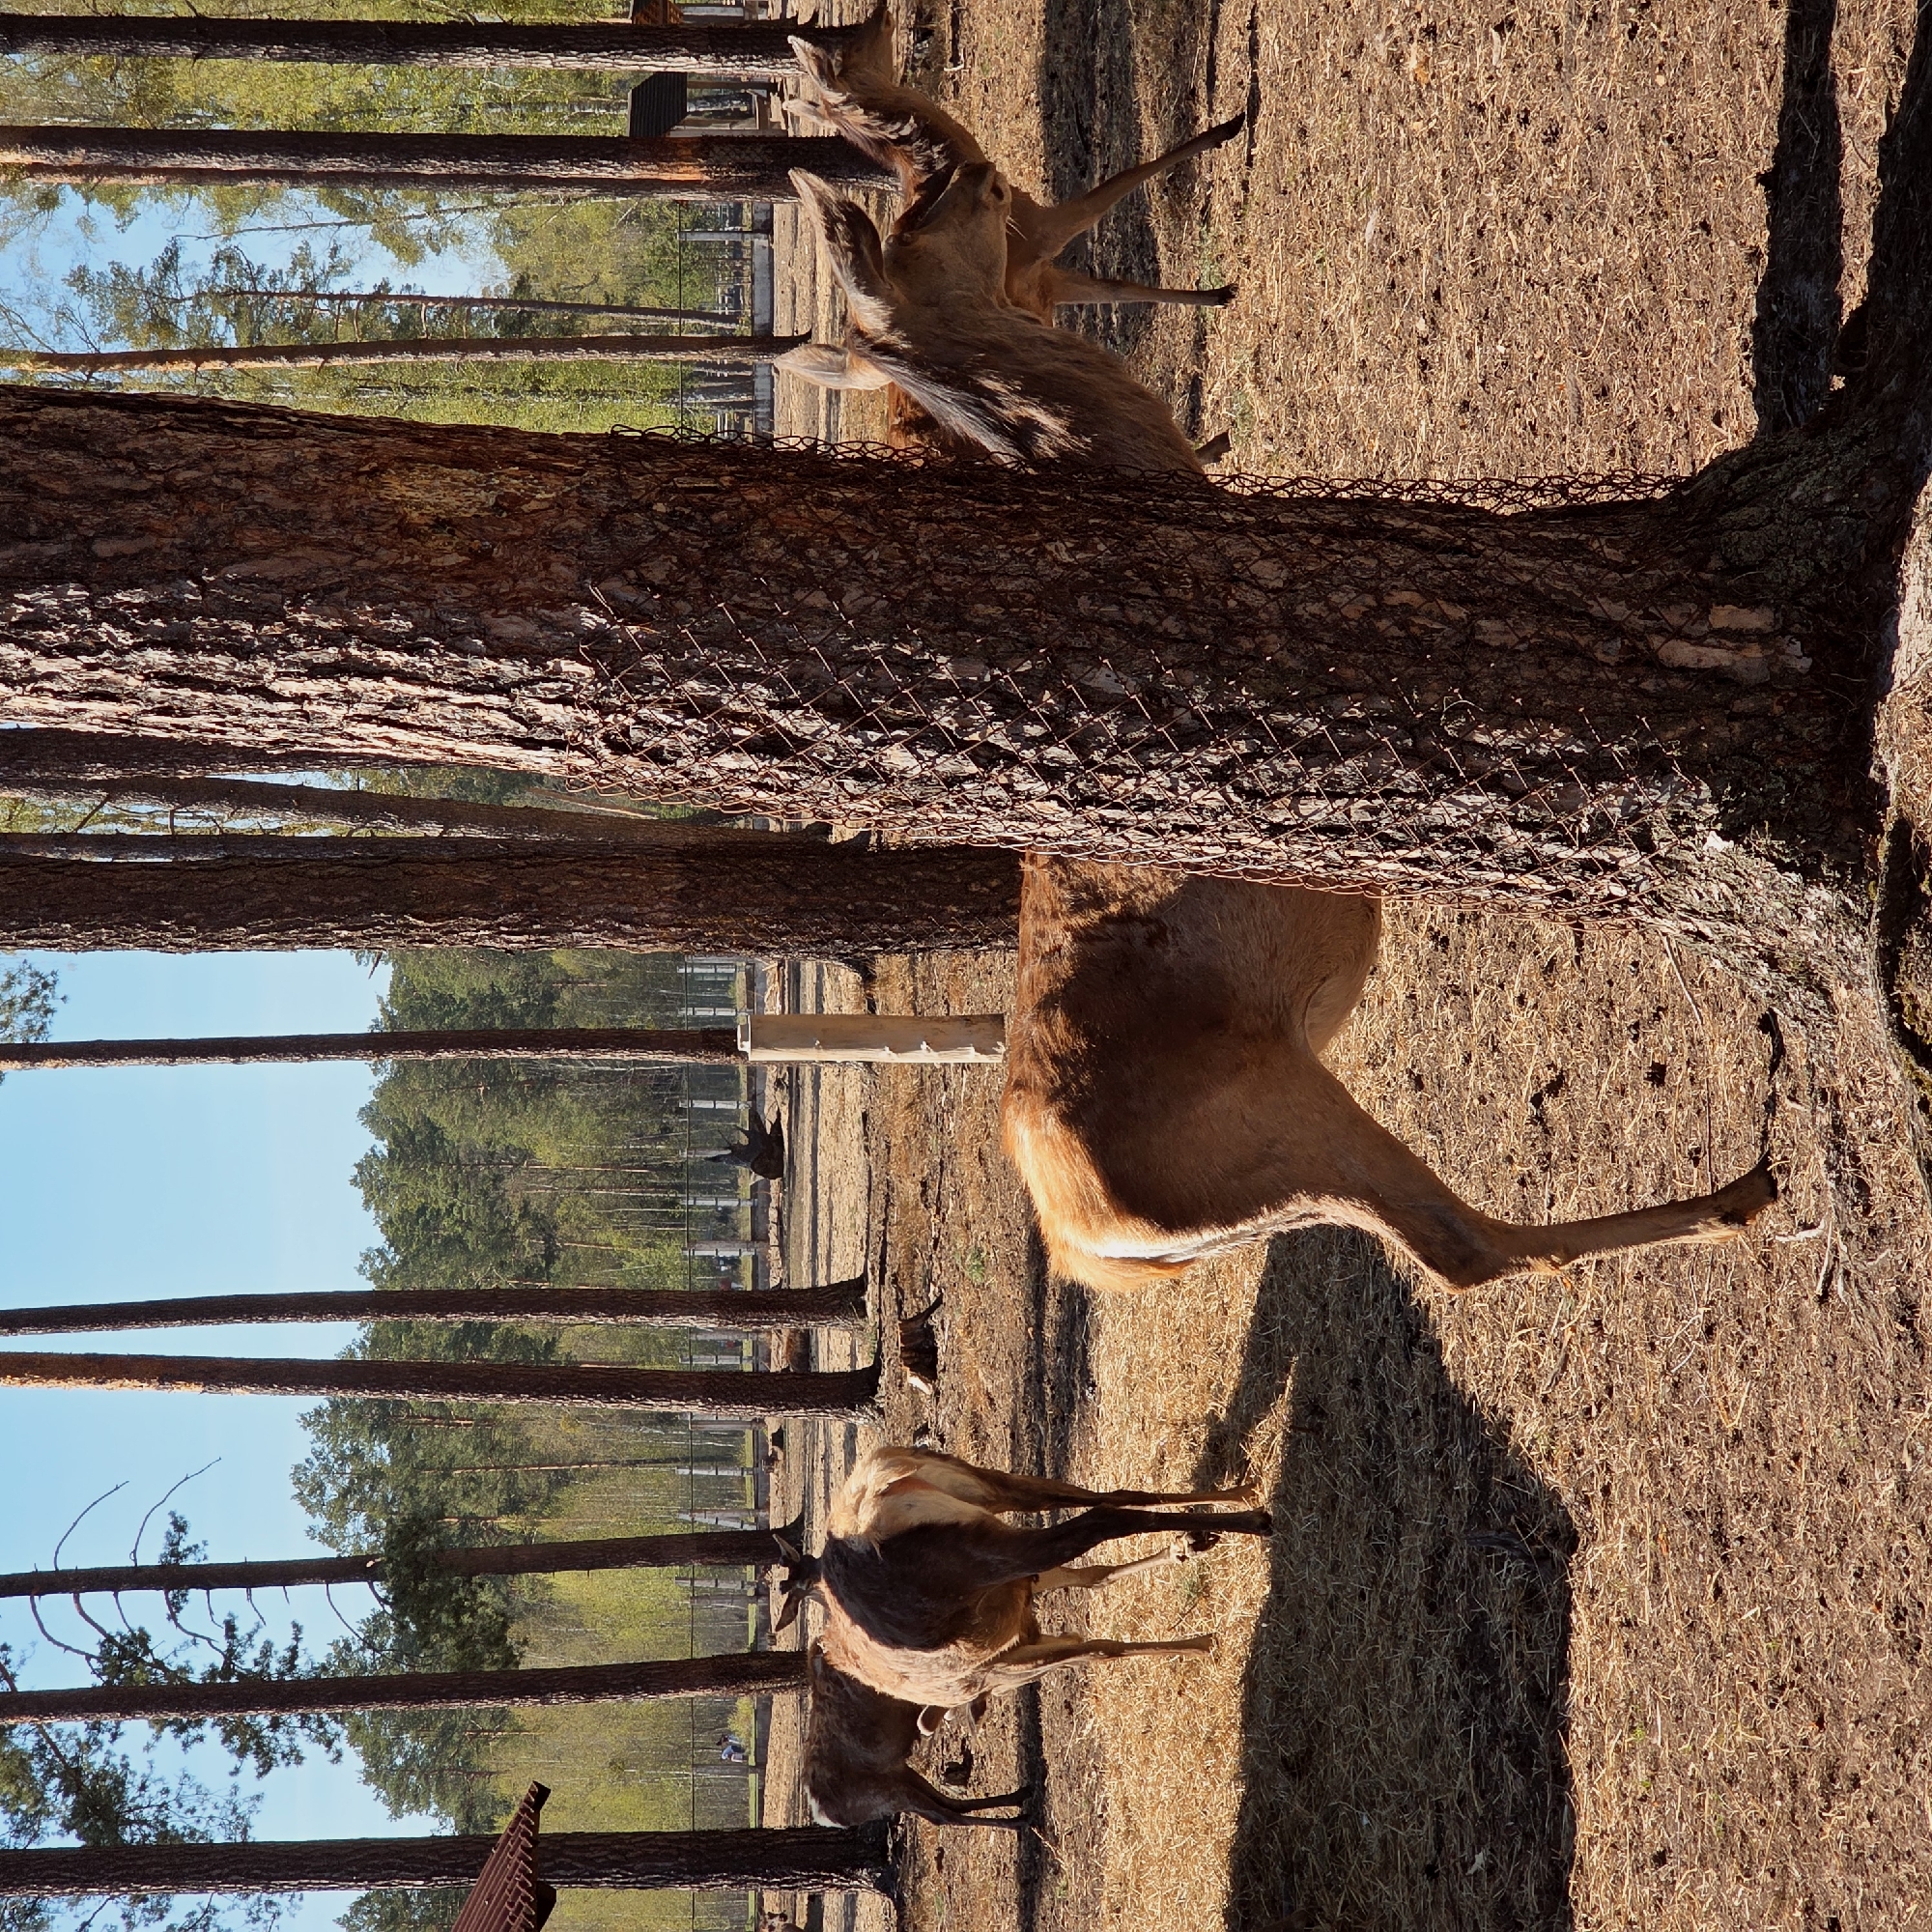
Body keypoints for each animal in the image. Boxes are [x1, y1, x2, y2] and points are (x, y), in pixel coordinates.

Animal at [776, 1446, 1270, 1721]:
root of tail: (869, 1507)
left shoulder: (1004, 1664)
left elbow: (1098, 1646)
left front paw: (1200, 1642)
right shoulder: (1021, 1616)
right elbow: (1096, 1592)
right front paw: (1188, 1556)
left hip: (980, 1551)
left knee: (1104, 1516)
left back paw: (1254, 1519)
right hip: (985, 1488)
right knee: (1106, 1497)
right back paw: (1238, 1496)